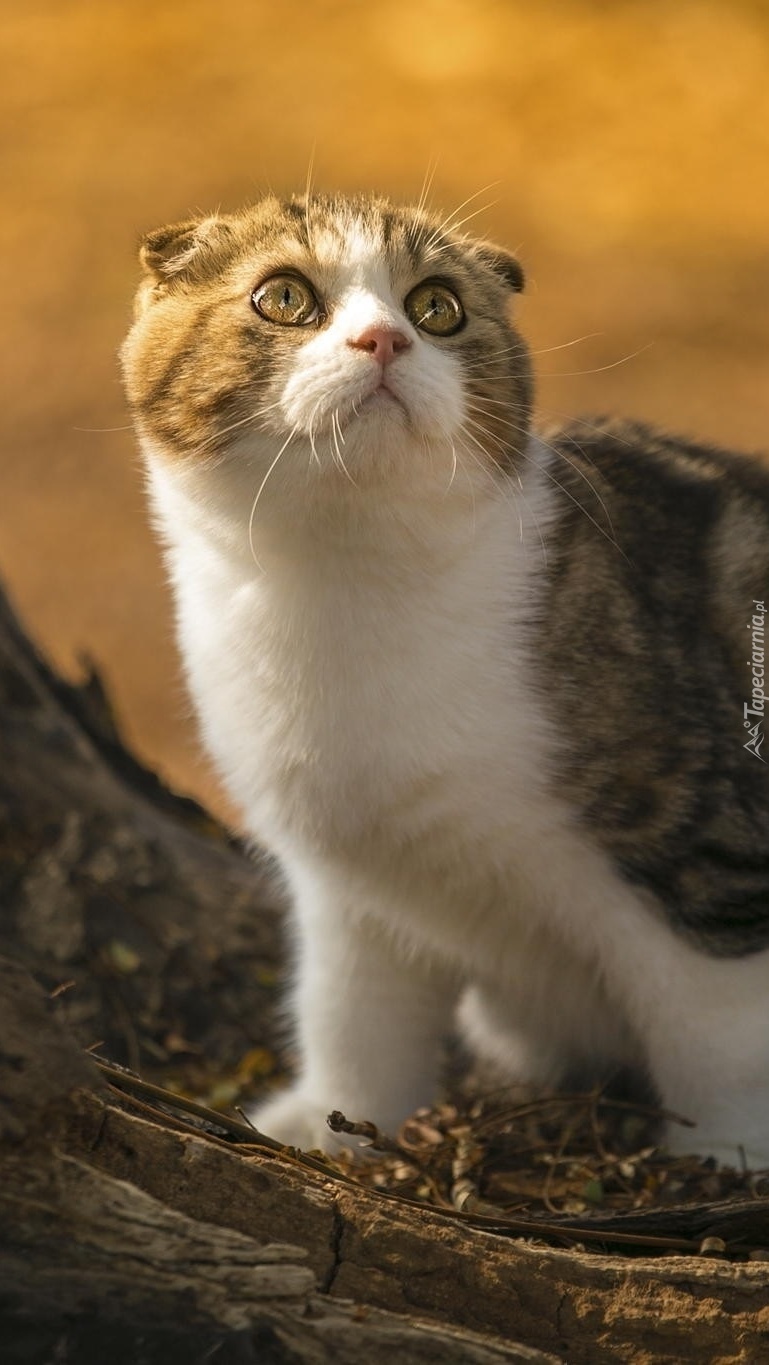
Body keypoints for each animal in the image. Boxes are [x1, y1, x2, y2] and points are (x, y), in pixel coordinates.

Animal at [121, 195, 769, 1162]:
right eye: (284, 296)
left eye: (436, 307)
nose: (384, 340)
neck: (344, 590)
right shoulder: (346, 879)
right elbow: (351, 1012)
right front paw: (329, 1122)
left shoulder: (697, 839)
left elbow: (719, 1032)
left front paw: (728, 1157)